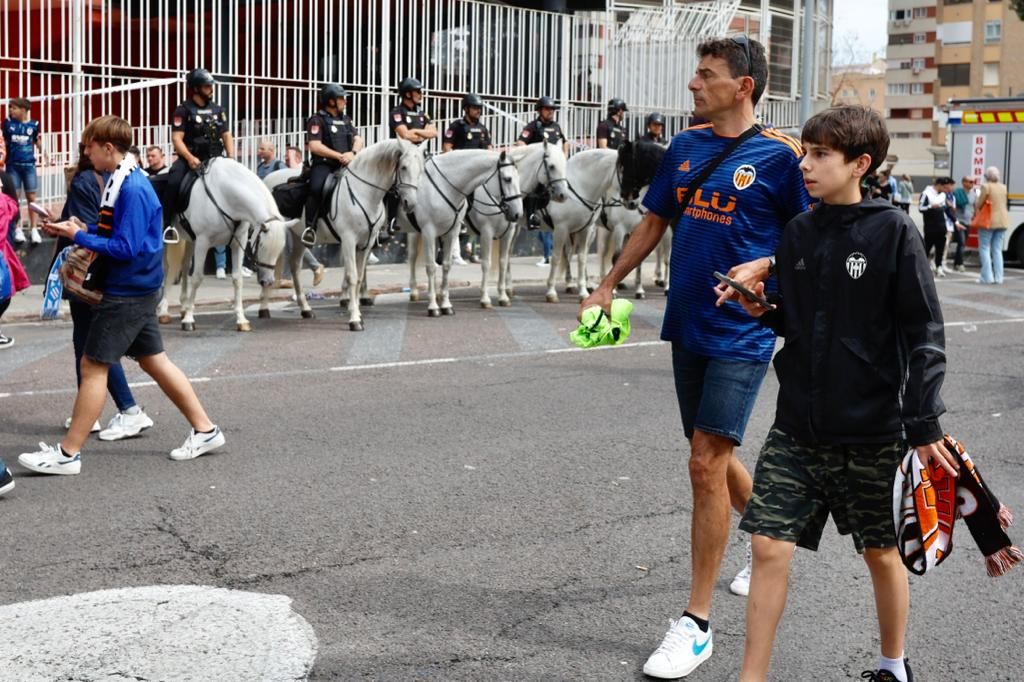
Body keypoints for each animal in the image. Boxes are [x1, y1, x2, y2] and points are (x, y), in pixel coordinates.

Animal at [156, 157, 292, 331]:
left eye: (279, 249)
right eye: (261, 245)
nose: (267, 282)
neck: (225, 196)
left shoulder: (238, 242)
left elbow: (237, 278)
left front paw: (241, 319)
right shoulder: (203, 242)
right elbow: (197, 278)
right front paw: (189, 319)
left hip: (190, 240)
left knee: (185, 267)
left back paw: (183, 307)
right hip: (169, 240)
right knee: (167, 270)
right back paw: (164, 311)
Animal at [266, 138, 425, 329]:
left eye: (421, 168)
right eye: (403, 167)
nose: (411, 203)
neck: (364, 192)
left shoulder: (366, 243)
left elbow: (359, 277)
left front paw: (356, 311)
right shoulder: (349, 240)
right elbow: (352, 276)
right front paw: (355, 319)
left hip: (298, 238)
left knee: (295, 267)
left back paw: (305, 309)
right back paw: (263, 310)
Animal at [403, 148, 524, 315]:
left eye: (518, 178)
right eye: (507, 179)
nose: (518, 214)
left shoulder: (508, 233)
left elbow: (503, 262)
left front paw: (503, 297)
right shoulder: (486, 232)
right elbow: (486, 263)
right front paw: (485, 299)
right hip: (416, 233)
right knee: (413, 257)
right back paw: (415, 292)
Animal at [544, 148, 622, 303]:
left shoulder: (585, 229)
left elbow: (582, 258)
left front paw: (584, 292)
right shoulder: (560, 229)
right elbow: (556, 257)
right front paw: (551, 292)